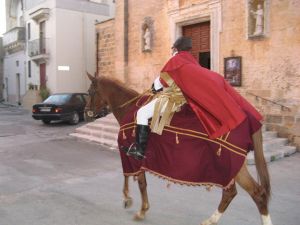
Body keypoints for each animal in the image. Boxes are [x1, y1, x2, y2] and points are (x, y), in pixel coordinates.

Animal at [85, 72, 274, 225]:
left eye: (90, 92)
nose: (86, 111)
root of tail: (249, 120)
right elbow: (136, 180)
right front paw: (134, 203)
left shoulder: (132, 156)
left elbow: (137, 180)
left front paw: (134, 204)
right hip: (234, 168)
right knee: (241, 193)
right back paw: (211, 220)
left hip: (233, 167)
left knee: (252, 193)